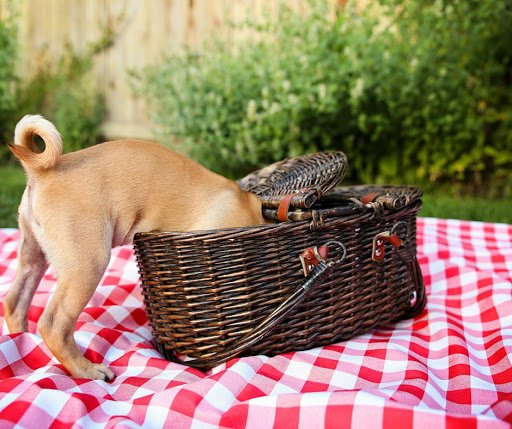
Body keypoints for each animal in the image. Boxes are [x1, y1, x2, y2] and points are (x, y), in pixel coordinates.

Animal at [3, 113, 268, 378]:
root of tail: (42, 172)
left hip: (33, 255)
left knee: (15, 302)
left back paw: (22, 341)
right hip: (87, 265)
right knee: (55, 325)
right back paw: (86, 371)